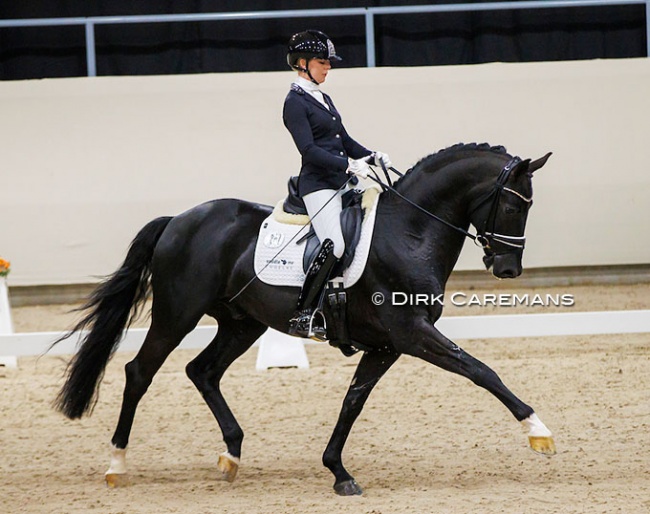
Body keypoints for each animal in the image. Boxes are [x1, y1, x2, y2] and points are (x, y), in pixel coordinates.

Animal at [54, 142, 552, 494]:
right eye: (514, 206)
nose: (508, 269)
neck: (409, 232)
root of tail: (178, 220)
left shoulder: (387, 345)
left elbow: (353, 402)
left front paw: (338, 471)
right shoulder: (412, 334)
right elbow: (480, 370)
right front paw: (537, 431)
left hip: (241, 323)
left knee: (203, 371)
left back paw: (231, 455)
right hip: (177, 315)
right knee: (140, 372)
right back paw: (117, 465)